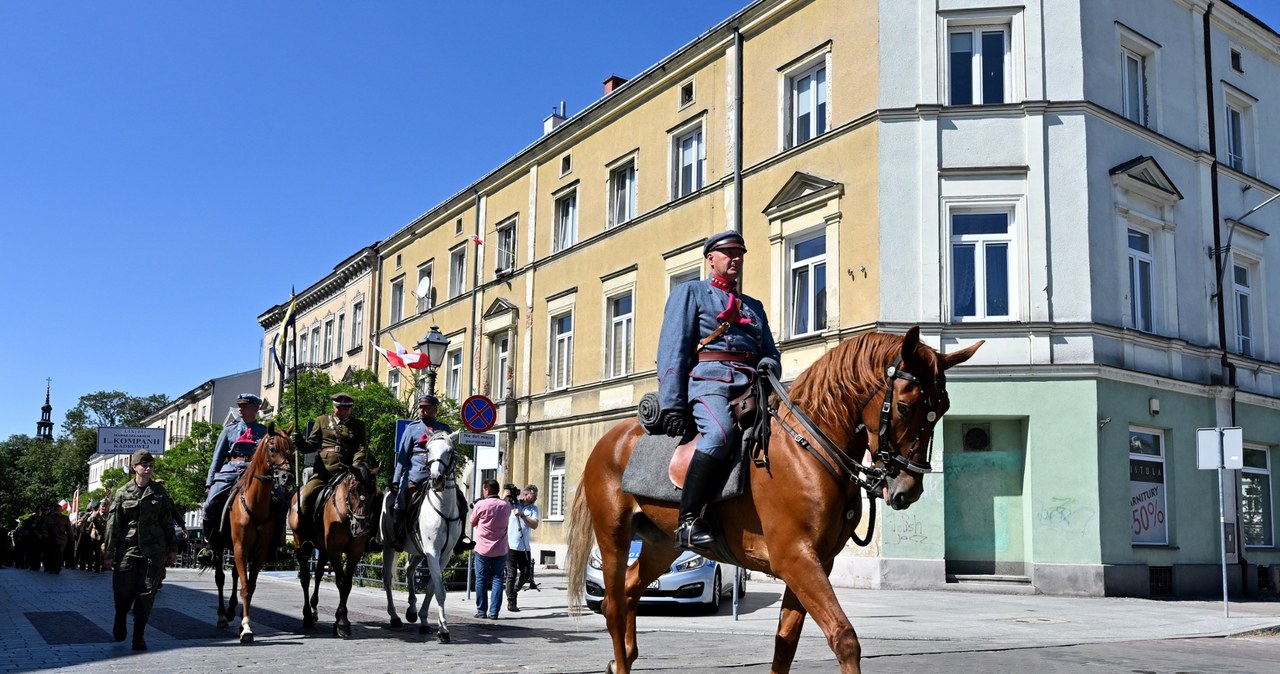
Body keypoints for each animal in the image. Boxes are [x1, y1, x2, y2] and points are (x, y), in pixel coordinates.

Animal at [212, 427, 296, 644]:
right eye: (273, 448)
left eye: (291, 448)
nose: (287, 477)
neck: (255, 502)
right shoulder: (241, 546)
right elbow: (245, 587)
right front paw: (246, 629)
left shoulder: (258, 551)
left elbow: (250, 585)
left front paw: (244, 623)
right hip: (221, 546)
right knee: (220, 577)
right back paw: (222, 615)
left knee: (234, 574)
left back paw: (231, 610)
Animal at [293, 465, 381, 639]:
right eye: (352, 491)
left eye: (373, 493)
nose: (360, 528)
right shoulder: (335, 550)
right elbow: (341, 581)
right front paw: (342, 622)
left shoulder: (355, 552)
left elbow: (347, 584)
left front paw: (341, 619)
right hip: (300, 543)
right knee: (305, 578)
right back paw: (307, 616)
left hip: (323, 549)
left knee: (318, 574)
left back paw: (314, 609)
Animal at [378, 429, 471, 647]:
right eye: (428, 450)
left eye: (450, 451)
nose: (436, 479)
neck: (443, 506)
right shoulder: (432, 552)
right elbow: (440, 590)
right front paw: (443, 630)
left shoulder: (443, 555)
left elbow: (431, 588)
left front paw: (425, 620)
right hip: (390, 547)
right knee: (387, 578)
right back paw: (394, 616)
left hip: (418, 551)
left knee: (409, 570)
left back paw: (412, 611)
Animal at [568, 324, 977, 670]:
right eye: (906, 406)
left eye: (942, 408)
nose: (908, 488)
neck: (809, 446)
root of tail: (608, 439)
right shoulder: (795, 558)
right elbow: (844, 637)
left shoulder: (817, 561)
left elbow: (786, 641)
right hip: (614, 534)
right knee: (613, 603)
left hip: (661, 543)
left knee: (632, 589)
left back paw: (626, 654)